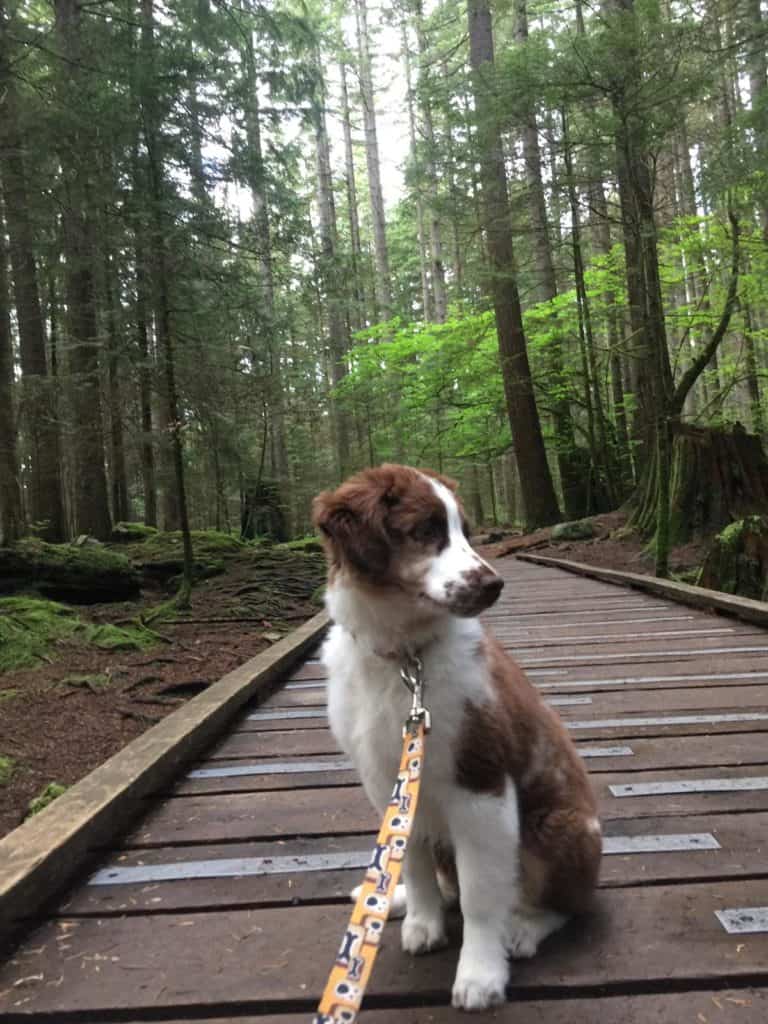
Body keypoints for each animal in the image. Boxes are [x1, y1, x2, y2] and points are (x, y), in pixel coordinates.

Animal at [313, 468, 602, 1011]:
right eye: (425, 530)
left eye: (465, 531)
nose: (494, 584)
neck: (406, 660)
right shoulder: (387, 779)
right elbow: (410, 859)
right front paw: (423, 921)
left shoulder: (480, 784)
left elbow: (481, 895)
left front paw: (480, 974)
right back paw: (395, 900)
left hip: (561, 827)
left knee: (567, 904)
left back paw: (524, 928)